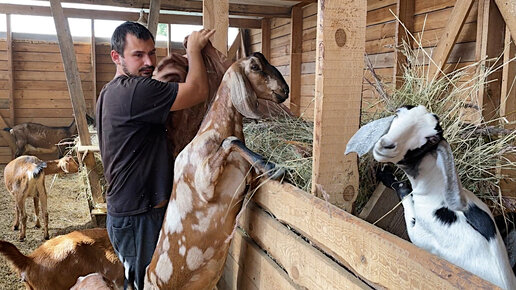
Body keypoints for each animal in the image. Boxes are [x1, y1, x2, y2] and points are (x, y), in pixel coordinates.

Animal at [145, 51, 288, 288]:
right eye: (255, 66)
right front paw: (273, 167)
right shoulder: (204, 185)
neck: (212, 129)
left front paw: (268, 168)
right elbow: (230, 141)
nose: (284, 91)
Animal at [344, 105, 516, 288]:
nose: (385, 145)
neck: (436, 190)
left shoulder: (419, 235)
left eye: (432, 139)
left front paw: (386, 176)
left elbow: (404, 191)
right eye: (398, 113)